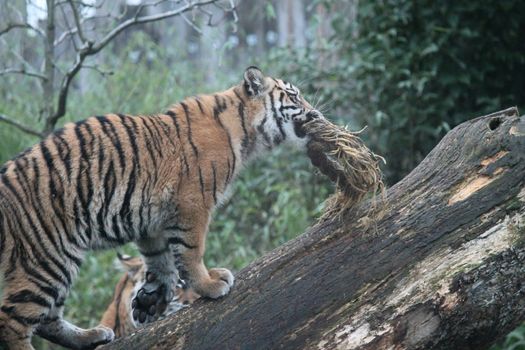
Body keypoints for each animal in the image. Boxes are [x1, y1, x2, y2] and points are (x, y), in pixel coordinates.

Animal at [0, 66, 322, 350]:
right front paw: (209, 284)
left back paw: (92, 336)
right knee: (12, 322)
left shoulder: (151, 220)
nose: (317, 114)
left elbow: (161, 261)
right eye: (294, 97)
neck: (245, 130)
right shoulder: (193, 204)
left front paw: (149, 301)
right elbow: (191, 252)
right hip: (45, 259)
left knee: (47, 319)